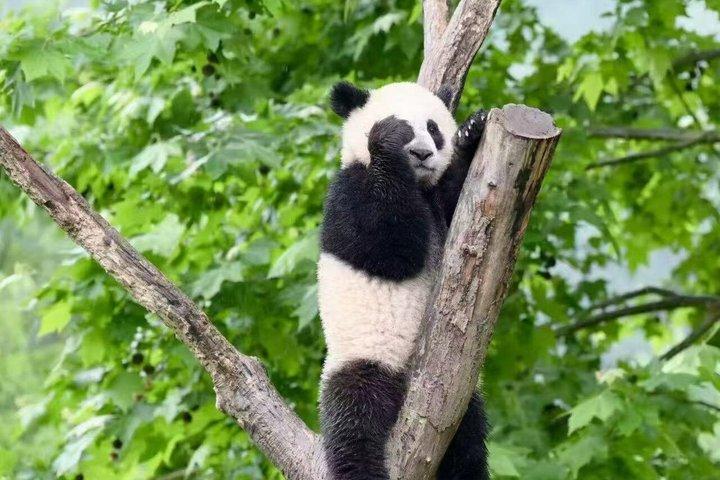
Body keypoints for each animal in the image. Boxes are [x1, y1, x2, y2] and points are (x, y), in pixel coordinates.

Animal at [318, 81, 489, 480]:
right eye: (405, 129)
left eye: (433, 129)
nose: (422, 153)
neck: (417, 185)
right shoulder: (349, 189)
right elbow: (385, 245)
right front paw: (385, 139)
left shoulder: (441, 202)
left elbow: (461, 205)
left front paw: (471, 133)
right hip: (362, 360)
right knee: (355, 426)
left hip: (461, 400)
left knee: (468, 443)